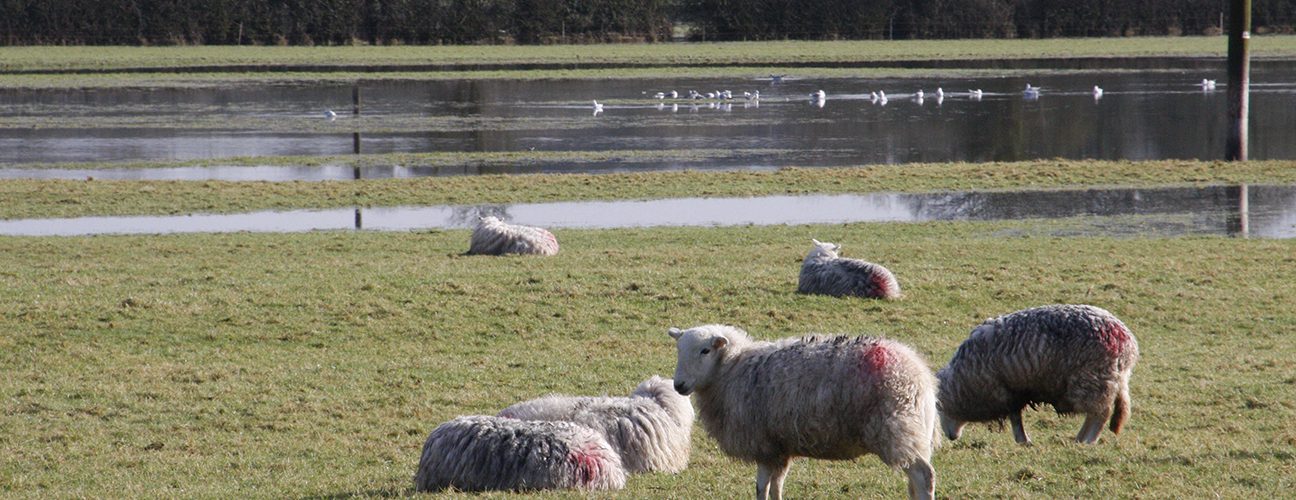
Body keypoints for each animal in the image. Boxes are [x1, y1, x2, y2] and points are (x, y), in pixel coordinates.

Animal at [668, 324, 939, 500]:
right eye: (678, 350)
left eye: (705, 350)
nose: (678, 385)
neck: (733, 368)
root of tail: (921, 376)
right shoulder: (780, 447)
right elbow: (776, 486)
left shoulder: (764, 444)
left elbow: (761, 487)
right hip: (913, 434)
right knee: (914, 482)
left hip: (895, 430)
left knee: (924, 476)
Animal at [937, 304, 1139, 445]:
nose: (951, 437)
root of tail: (1127, 342)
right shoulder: (1015, 392)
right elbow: (1016, 416)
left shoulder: (1006, 391)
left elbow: (1015, 418)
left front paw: (1023, 440)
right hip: (1107, 381)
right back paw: (1080, 439)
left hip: (1092, 380)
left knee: (1099, 414)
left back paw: (1086, 440)